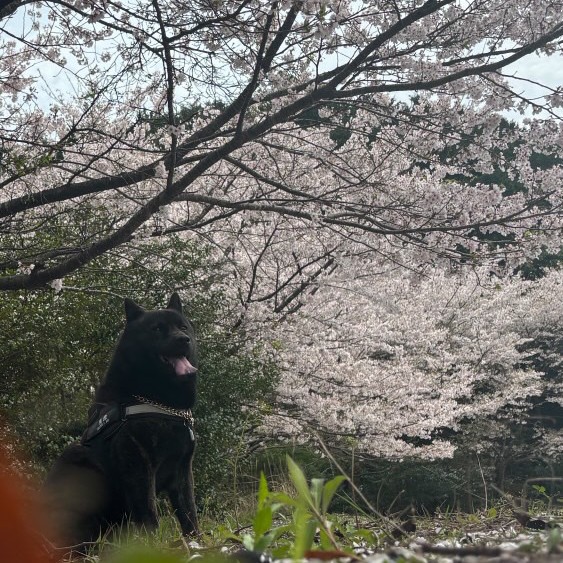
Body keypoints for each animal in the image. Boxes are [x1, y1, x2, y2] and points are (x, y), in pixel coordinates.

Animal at [44, 296, 198, 552]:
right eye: (157, 329)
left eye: (183, 327)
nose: (183, 339)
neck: (157, 402)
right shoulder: (138, 466)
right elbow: (149, 516)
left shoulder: (181, 470)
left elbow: (189, 515)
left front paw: (197, 545)